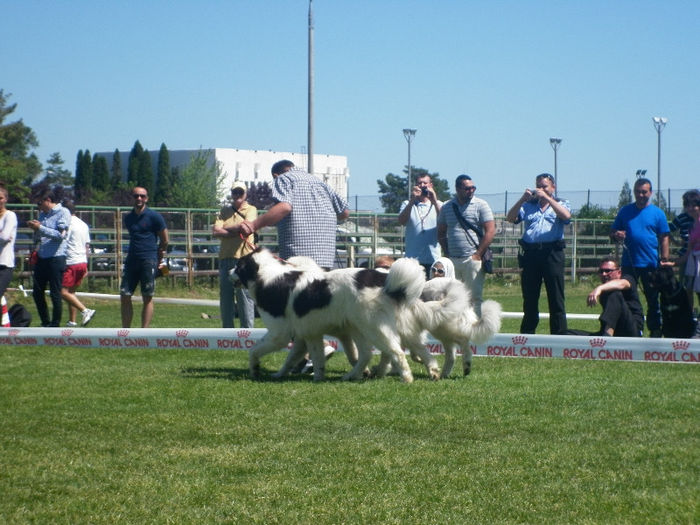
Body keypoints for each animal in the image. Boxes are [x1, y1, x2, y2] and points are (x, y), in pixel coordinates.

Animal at [232, 248, 424, 382]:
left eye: (238, 266)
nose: (228, 272)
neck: (267, 276)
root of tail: (382, 279)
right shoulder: (307, 334)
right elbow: (301, 358)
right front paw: (297, 376)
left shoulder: (279, 333)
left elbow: (254, 350)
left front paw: (255, 369)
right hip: (359, 328)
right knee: (367, 354)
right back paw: (353, 375)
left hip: (373, 327)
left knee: (395, 351)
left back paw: (406, 378)